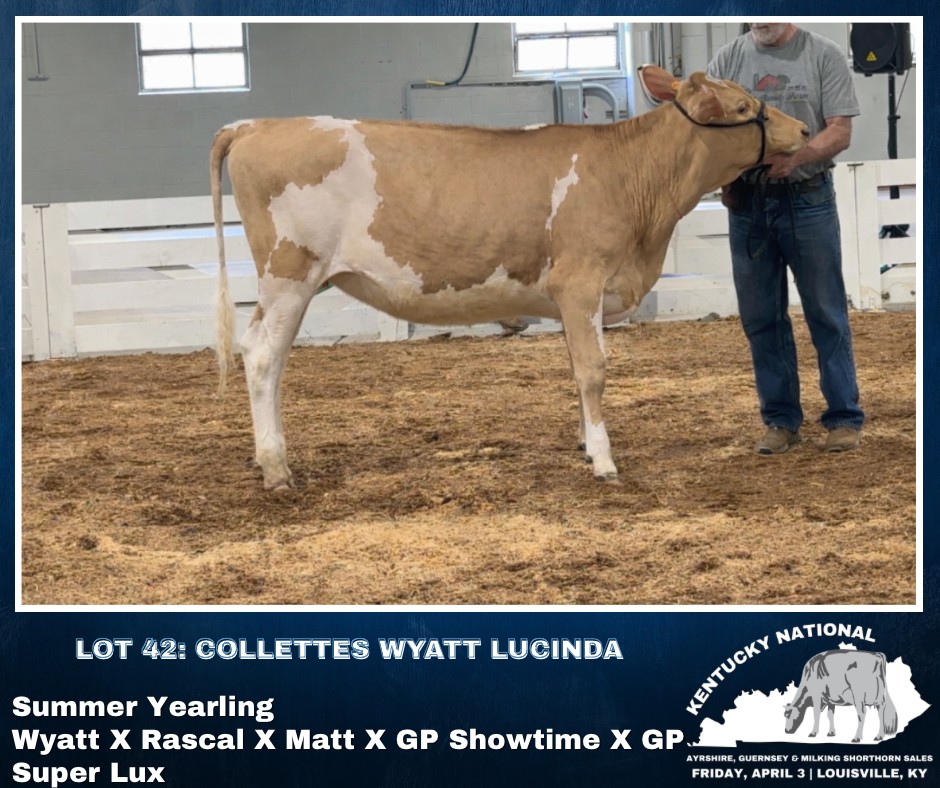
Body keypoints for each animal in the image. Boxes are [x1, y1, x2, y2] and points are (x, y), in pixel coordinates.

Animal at [211, 67, 809, 491]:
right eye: (743, 107)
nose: (804, 129)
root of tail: (257, 125)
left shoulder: (575, 297)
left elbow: (575, 366)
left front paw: (585, 444)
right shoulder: (580, 280)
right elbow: (593, 370)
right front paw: (604, 459)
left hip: (293, 280)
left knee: (265, 355)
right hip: (290, 272)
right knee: (263, 355)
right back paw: (276, 469)